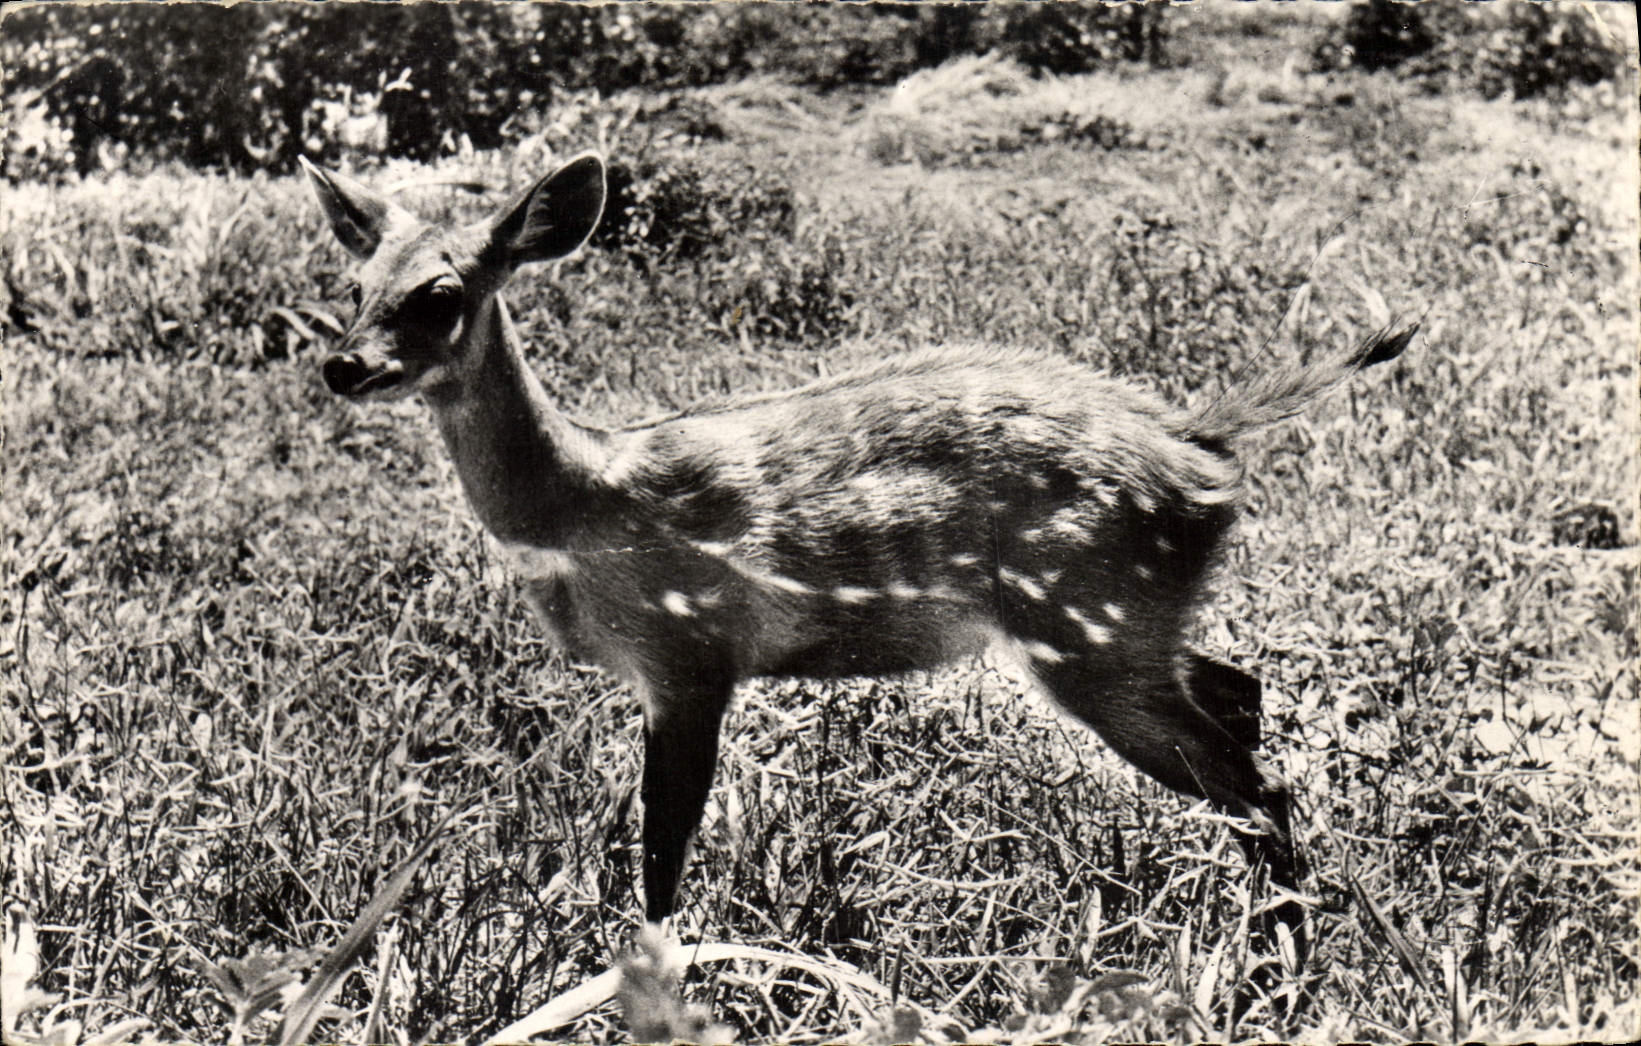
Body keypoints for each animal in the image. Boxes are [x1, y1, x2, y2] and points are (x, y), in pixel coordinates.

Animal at [300, 152, 1416, 934]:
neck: (579, 502)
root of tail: (1200, 440)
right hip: (1137, 618)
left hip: (1089, 619)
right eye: (352, 285)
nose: (342, 366)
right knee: (1242, 694)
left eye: (440, 294)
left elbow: (662, 860)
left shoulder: (690, 653)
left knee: (1256, 785)